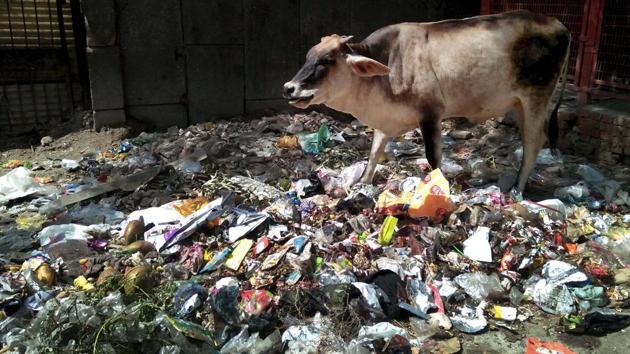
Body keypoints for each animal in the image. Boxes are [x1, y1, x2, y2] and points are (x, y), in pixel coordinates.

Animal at [284, 11, 572, 192]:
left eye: (327, 61)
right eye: (308, 56)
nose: (289, 88)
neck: (388, 67)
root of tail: (558, 23)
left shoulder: (431, 114)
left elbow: (433, 159)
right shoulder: (385, 121)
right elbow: (374, 153)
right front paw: (363, 183)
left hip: (536, 98)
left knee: (533, 143)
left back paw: (517, 191)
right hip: (520, 104)